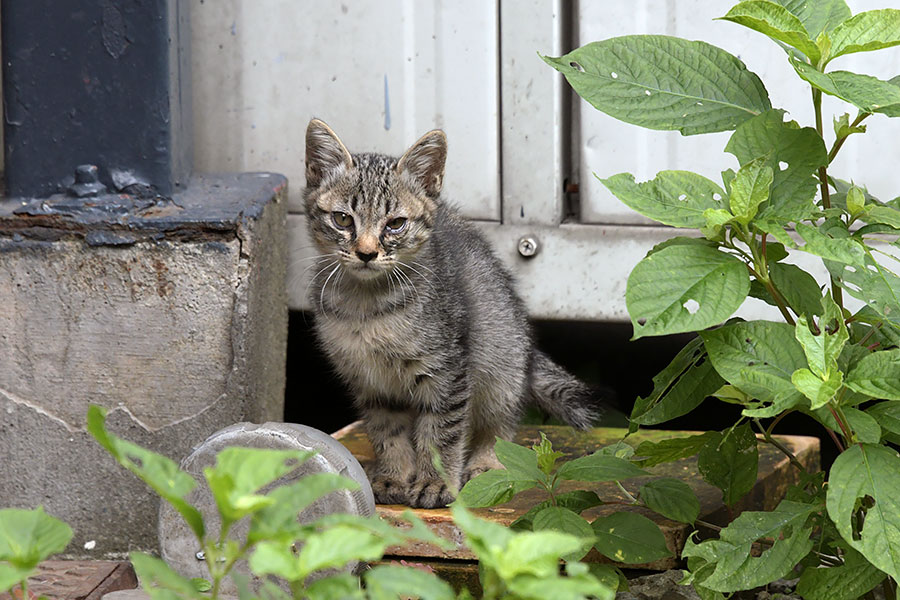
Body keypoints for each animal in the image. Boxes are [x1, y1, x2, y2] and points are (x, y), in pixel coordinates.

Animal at [304, 119, 604, 508]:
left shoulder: (447, 371)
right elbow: (387, 431)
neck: (367, 305)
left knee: (500, 423)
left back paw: (487, 462)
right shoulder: (371, 382)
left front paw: (434, 482)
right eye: (342, 219)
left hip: (501, 362)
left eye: (395, 224)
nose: (367, 253)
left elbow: (441, 433)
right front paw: (394, 475)